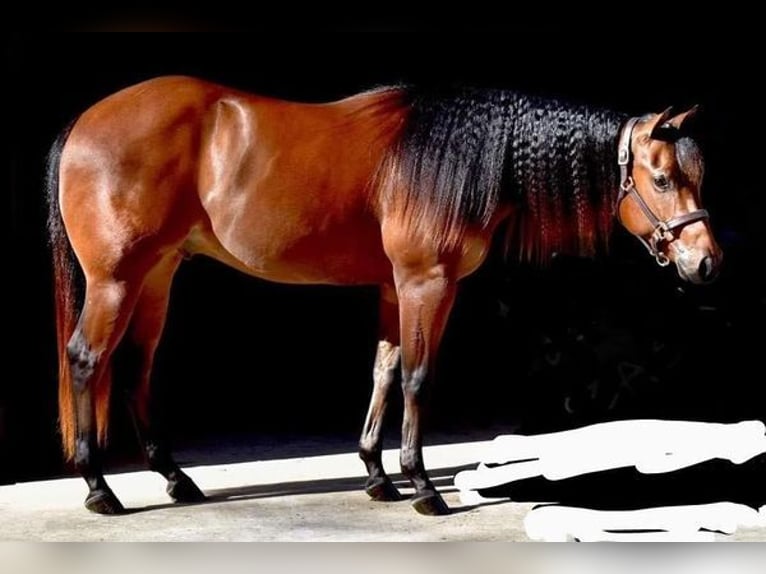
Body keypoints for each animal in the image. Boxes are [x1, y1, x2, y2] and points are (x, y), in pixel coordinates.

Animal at [49, 76, 728, 516]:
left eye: (695, 178)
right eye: (661, 179)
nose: (707, 263)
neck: (460, 161)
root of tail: (83, 122)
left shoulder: (392, 288)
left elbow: (384, 369)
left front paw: (377, 474)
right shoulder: (427, 283)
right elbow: (419, 377)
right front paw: (422, 485)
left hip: (157, 275)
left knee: (135, 365)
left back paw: (174, 478)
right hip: (116, 279)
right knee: (86, 359)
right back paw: (98, 488)